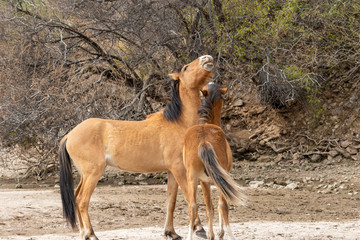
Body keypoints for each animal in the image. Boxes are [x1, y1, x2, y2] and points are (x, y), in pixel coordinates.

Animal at [59, 55, 215, 239]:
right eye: (186, 67)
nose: (207, 58)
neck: (177, 122)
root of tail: (69, 135)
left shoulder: (171, 171)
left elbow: (171, 201)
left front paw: (170, 232)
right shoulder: (179, 169)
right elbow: (190, 197)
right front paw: (199, 228)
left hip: (85, 175)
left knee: (76, 197)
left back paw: (84, 233)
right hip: (93, 173)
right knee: (82, 201)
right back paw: (91, 234)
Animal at [183, 83, 245, 240]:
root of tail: (204, 141)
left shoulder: (204, 181)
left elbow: (208, 208)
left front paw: (211, 234)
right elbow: (218, 206)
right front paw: (219, 233)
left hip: (192, 178)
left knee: (193, 207)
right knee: (223, 205)